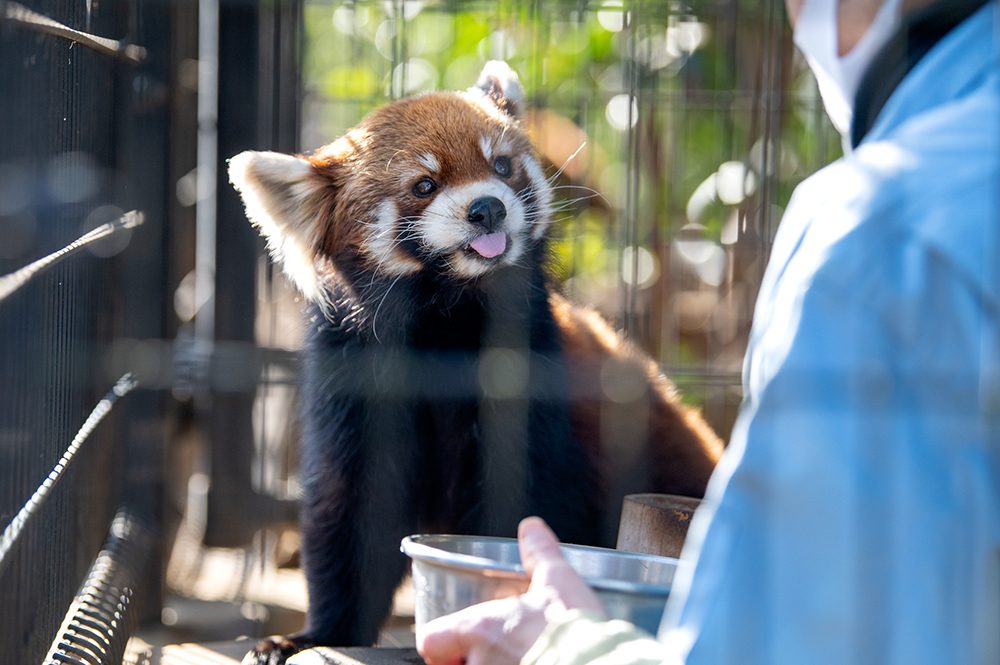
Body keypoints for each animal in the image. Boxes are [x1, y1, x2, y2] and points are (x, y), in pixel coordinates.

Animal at [230, 59, 724, 660]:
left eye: (502, 165)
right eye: (424, 185)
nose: (487, 207)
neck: (448, 317)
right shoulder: (355, 385)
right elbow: (351, 515)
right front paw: (315, 635)